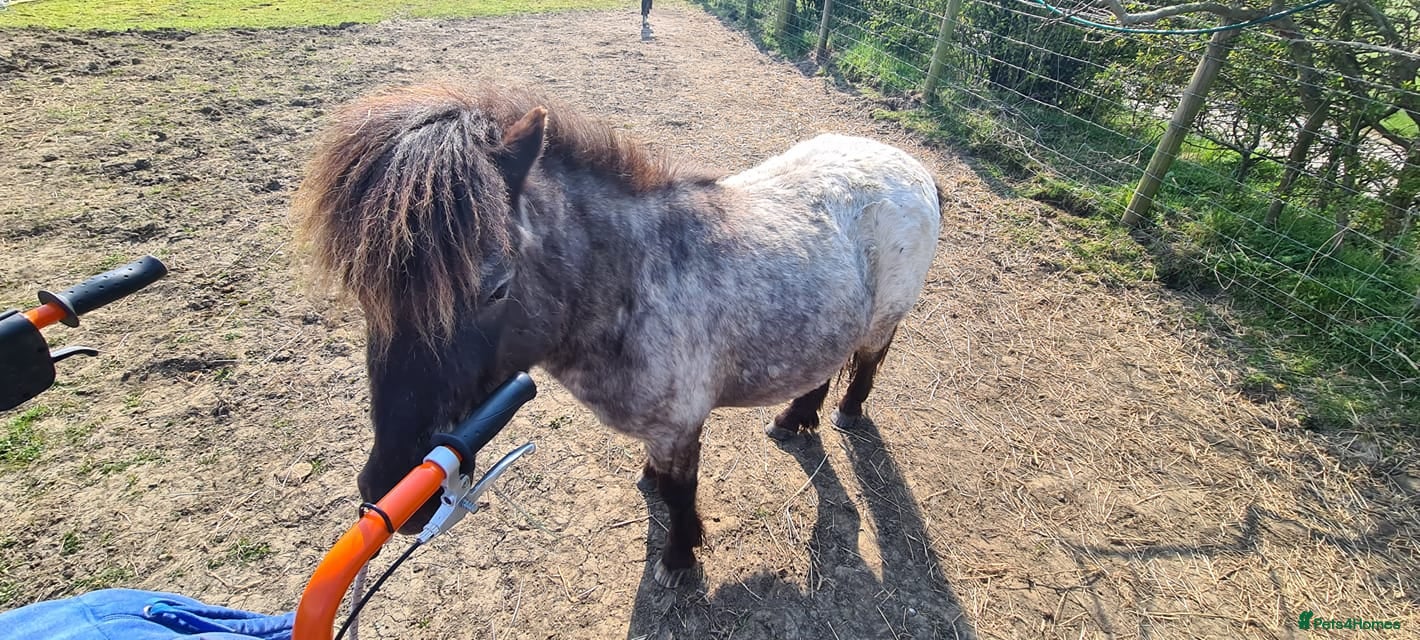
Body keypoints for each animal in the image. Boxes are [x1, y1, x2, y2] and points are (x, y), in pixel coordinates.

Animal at [294, 82, 942, 588]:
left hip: (882, 321)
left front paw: (679, 557)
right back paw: (794, 417)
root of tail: (911, 167)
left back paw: (845, 413)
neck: (632, 278)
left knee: (867, 361)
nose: (390, 488)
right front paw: (654, 489)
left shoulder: (681, 424)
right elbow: (663, 479)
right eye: (365, 292)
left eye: (497, 288)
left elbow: (681, 492)